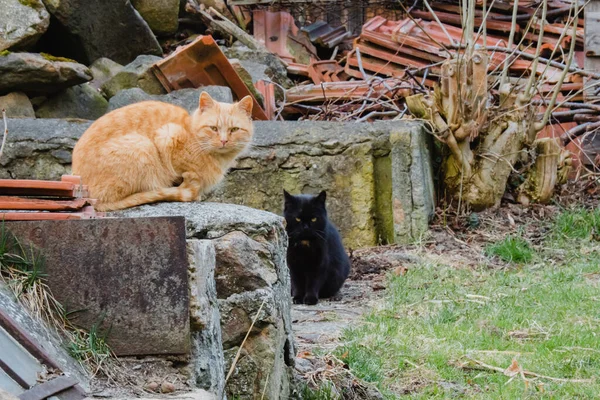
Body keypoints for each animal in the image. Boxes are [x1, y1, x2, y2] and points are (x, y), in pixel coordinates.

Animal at [72, 92, 253, 212]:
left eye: (234, 129)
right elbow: (182, 172)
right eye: (213, 128)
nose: (223, 141)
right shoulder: (167, 135)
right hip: (142, 145)